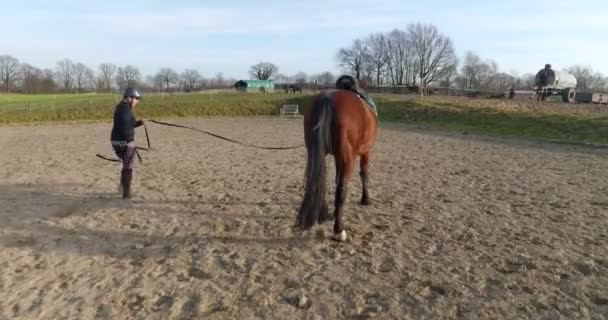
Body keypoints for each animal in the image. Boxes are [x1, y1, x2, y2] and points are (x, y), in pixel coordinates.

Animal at [296, 74, 378, 240]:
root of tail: (328, 98)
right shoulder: (366, 152)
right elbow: (364, 174)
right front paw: (365, 199)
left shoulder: (336, 157)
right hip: (349, 159)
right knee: (341, 189)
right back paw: (339, 230)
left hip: (315, 153)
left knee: (318, 181)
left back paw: (323, 215)